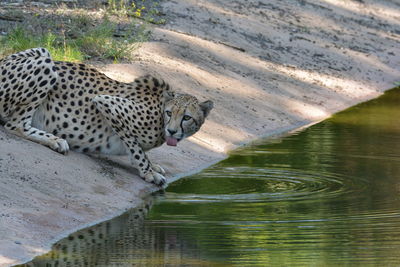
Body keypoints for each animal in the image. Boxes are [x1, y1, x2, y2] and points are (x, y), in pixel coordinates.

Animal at [0, 48, 212, 186]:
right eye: (170, 113)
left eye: (187, 117)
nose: (172, 131)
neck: (160, 116)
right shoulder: (107, 103)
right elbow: (137, 149)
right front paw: (148, 172)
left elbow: (137, 150)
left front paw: (152, 166)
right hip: (45, 65)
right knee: (15, 125)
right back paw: (55, 140)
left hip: (43, 52)